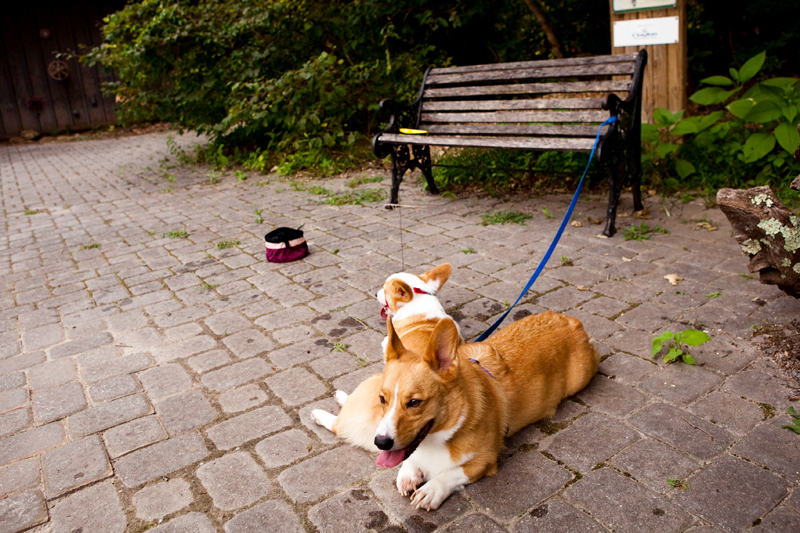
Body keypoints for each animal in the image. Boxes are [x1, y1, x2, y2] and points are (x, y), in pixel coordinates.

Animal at [316, 310, 596, 510]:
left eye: (415, 402)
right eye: (383, 399)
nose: (381, 442)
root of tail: (575, 324)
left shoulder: (484, 461)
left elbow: (450, 474)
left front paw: (431, 490)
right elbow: (409, 459)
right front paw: (407, 474)